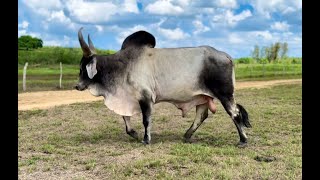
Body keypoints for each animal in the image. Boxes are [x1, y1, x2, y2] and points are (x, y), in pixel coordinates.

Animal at [75, 27, 252, 146]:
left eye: (83, 67)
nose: (77, 86)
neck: (122, 66)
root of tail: (226, 55)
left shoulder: (145, 97)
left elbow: (146, 120)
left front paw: (146, 139)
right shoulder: (127, 98)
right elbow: (125, 119)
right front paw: (134, 133)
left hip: (225, 94)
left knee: (234, 113)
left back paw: (243, 140)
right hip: (203, 96)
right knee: (201, 115)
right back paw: (187, 135)